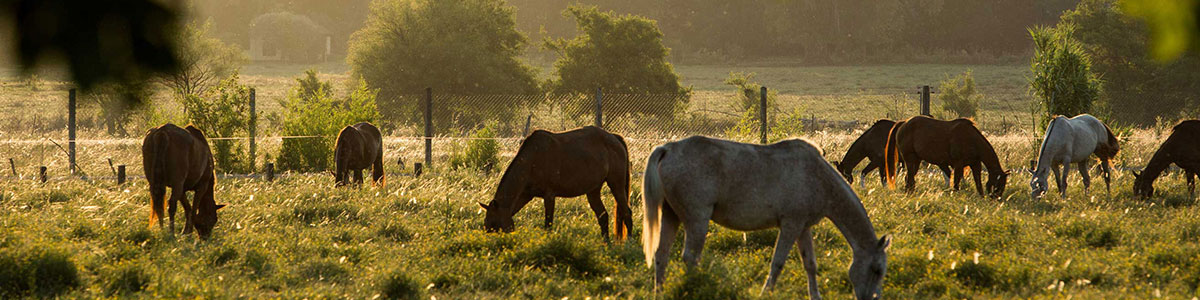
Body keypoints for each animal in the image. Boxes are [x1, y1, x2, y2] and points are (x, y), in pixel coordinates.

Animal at [475, 126, 633, 241]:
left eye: (495, 224)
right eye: (486, 224)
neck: (532, 159)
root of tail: (615, 138)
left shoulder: (549, 196)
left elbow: (548, 224)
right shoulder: (526, 195)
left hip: (616, 185)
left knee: (626, 213)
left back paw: (629, 243)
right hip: (593, 191)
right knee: (603, 216)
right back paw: (605, 243)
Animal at [643, 136, 888, 300]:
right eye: (876, 270)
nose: (872, 298)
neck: (817, 177)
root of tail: (668, 149)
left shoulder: (803, 228)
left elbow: (810, 264)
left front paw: (815, 296)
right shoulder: (790, 225)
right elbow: (778, 262)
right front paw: (766, 292)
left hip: (670, 216)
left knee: (661, 255)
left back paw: (659, 292)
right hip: (697, 220)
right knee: (690, 257)